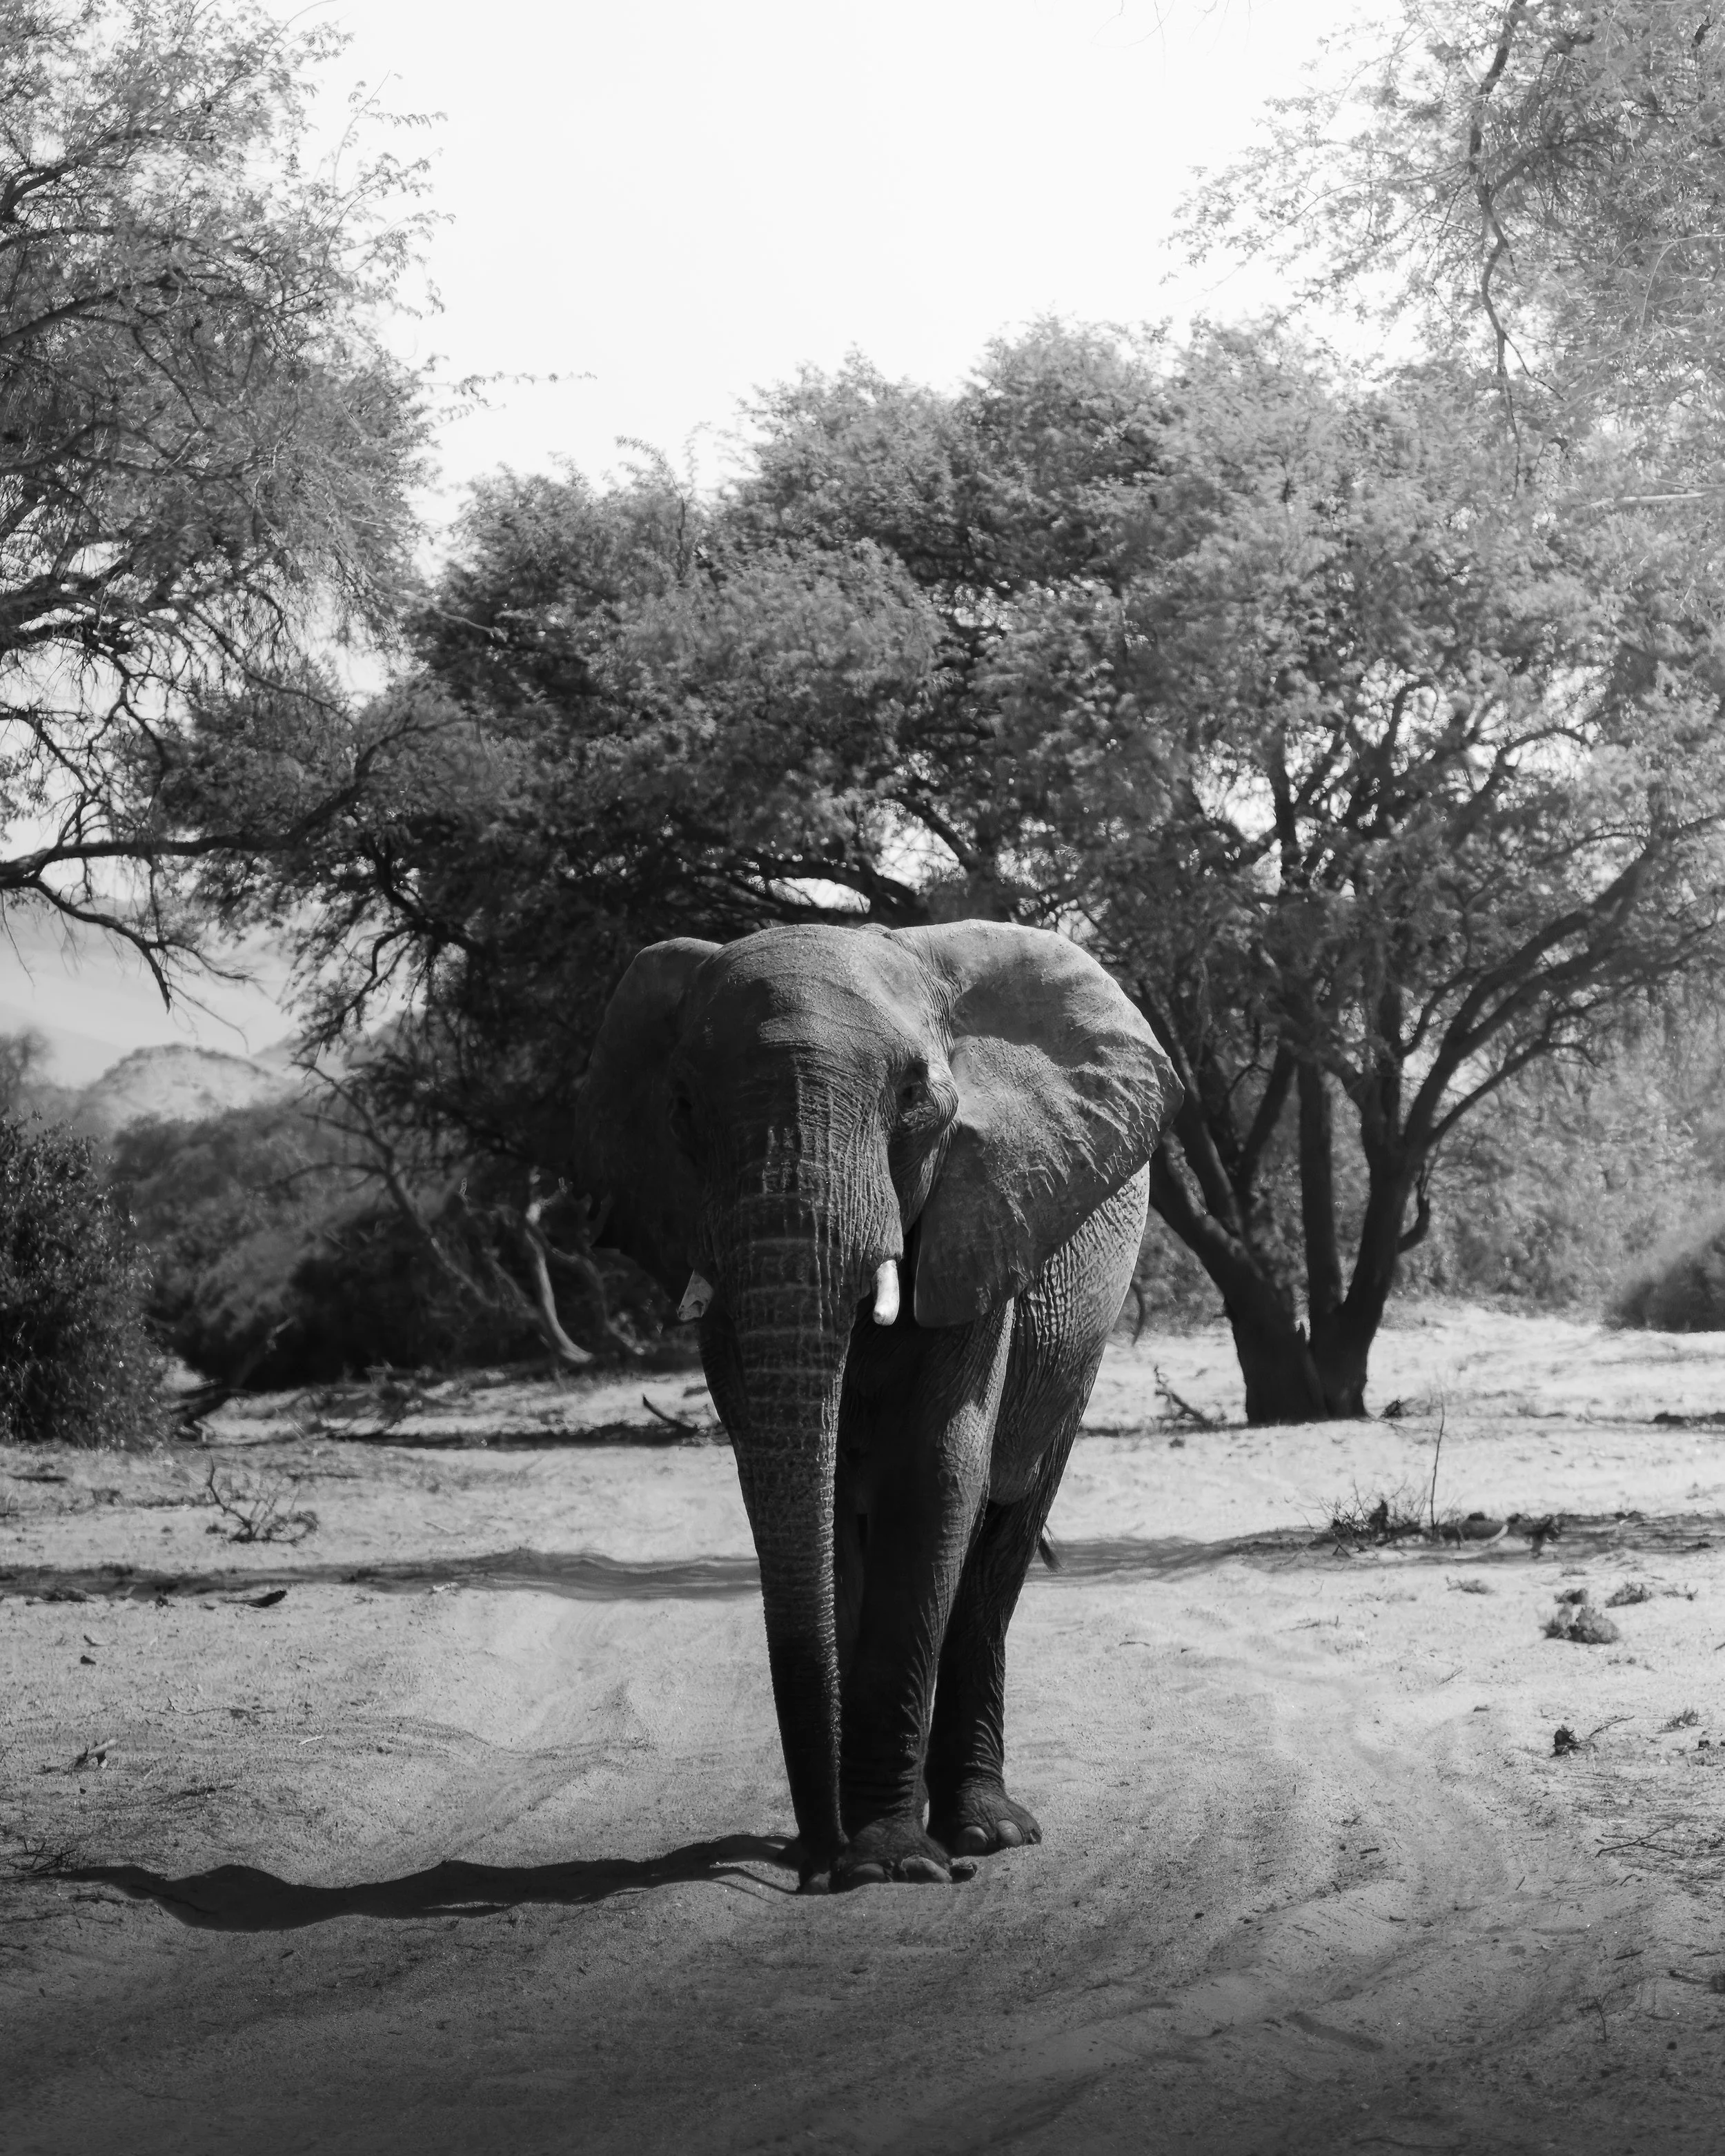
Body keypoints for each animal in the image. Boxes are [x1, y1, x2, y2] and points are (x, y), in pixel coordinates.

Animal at [572, 920, 1180, 1891]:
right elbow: (797, 1495)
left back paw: (984, 1832)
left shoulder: (982, 1216)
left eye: (913, 1098)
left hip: (1079, 1343)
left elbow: (934, 1474)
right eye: (683, 1109)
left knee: (1000, 1541)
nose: (808, 1863)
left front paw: (891, 1860)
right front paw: (858, 1853)